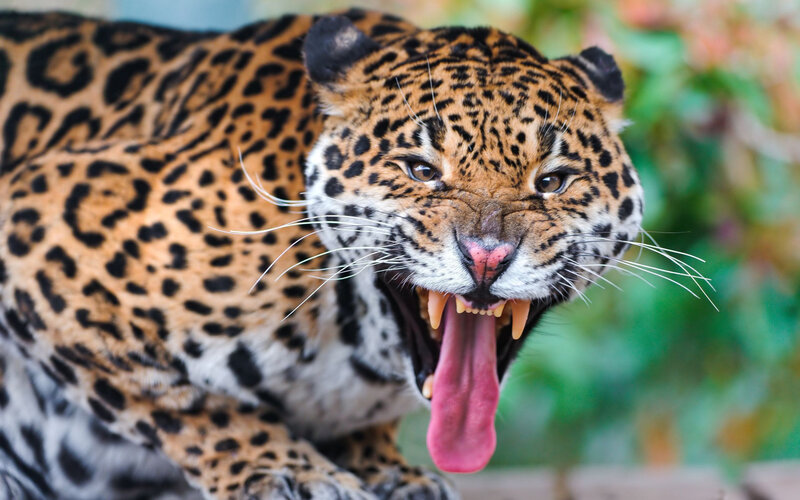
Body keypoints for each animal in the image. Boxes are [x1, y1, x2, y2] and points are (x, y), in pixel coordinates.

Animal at [0, 7, 644, 500]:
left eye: (553, 181)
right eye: (420, 170)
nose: (487, 256)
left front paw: (390, 472)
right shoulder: (37, 214)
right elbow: (183, 403)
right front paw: (289, 470)